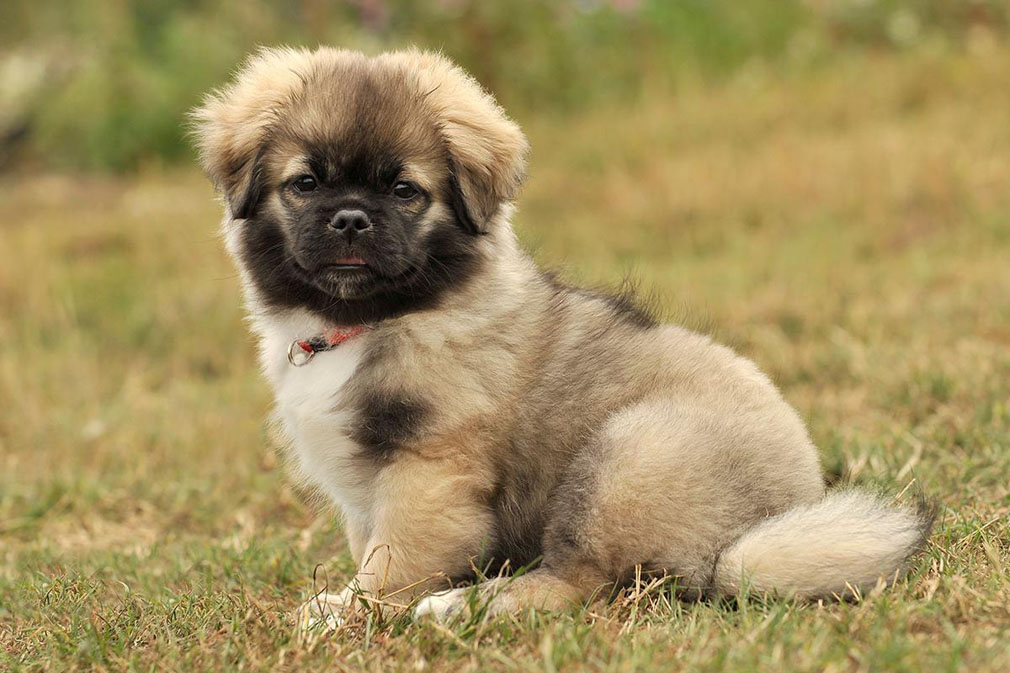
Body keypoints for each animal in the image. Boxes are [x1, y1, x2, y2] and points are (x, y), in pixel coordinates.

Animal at [192, 47, 933, 622]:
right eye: (304, 183)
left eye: (405, 191)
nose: (350, 219)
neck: (371, 323)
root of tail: (758, 530)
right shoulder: (365, 490)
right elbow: (369, 544)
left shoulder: (431, 469)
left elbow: (393, 559)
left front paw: (353, 612)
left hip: (627, 458)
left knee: (578, 582)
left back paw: (460, 607)